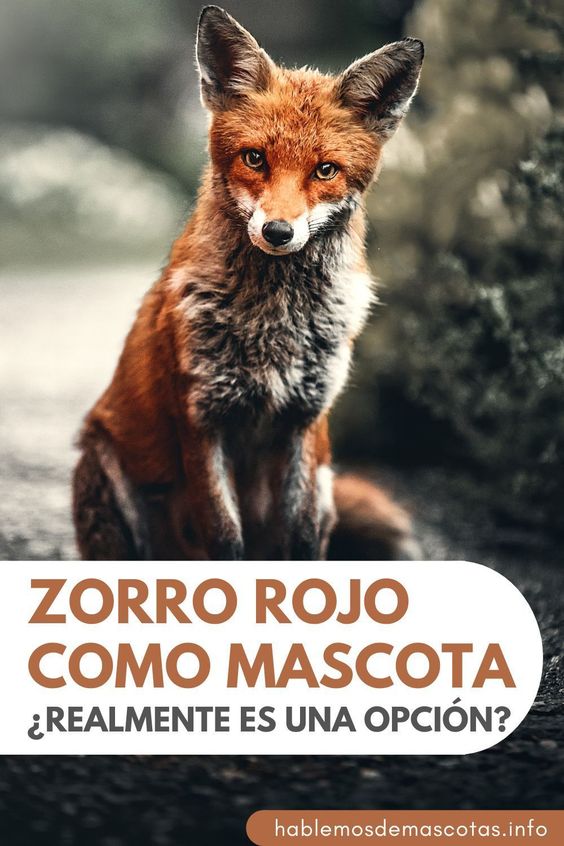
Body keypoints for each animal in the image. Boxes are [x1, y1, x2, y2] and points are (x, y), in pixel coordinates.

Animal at [72, 5, 424, 561]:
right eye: (255, 158)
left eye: (326, 170)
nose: (278, 232)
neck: (274, 322)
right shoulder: (201, 419)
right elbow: (223, 536)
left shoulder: (305, 420)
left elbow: (302, 538)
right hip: (106, 475)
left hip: (326, 482)